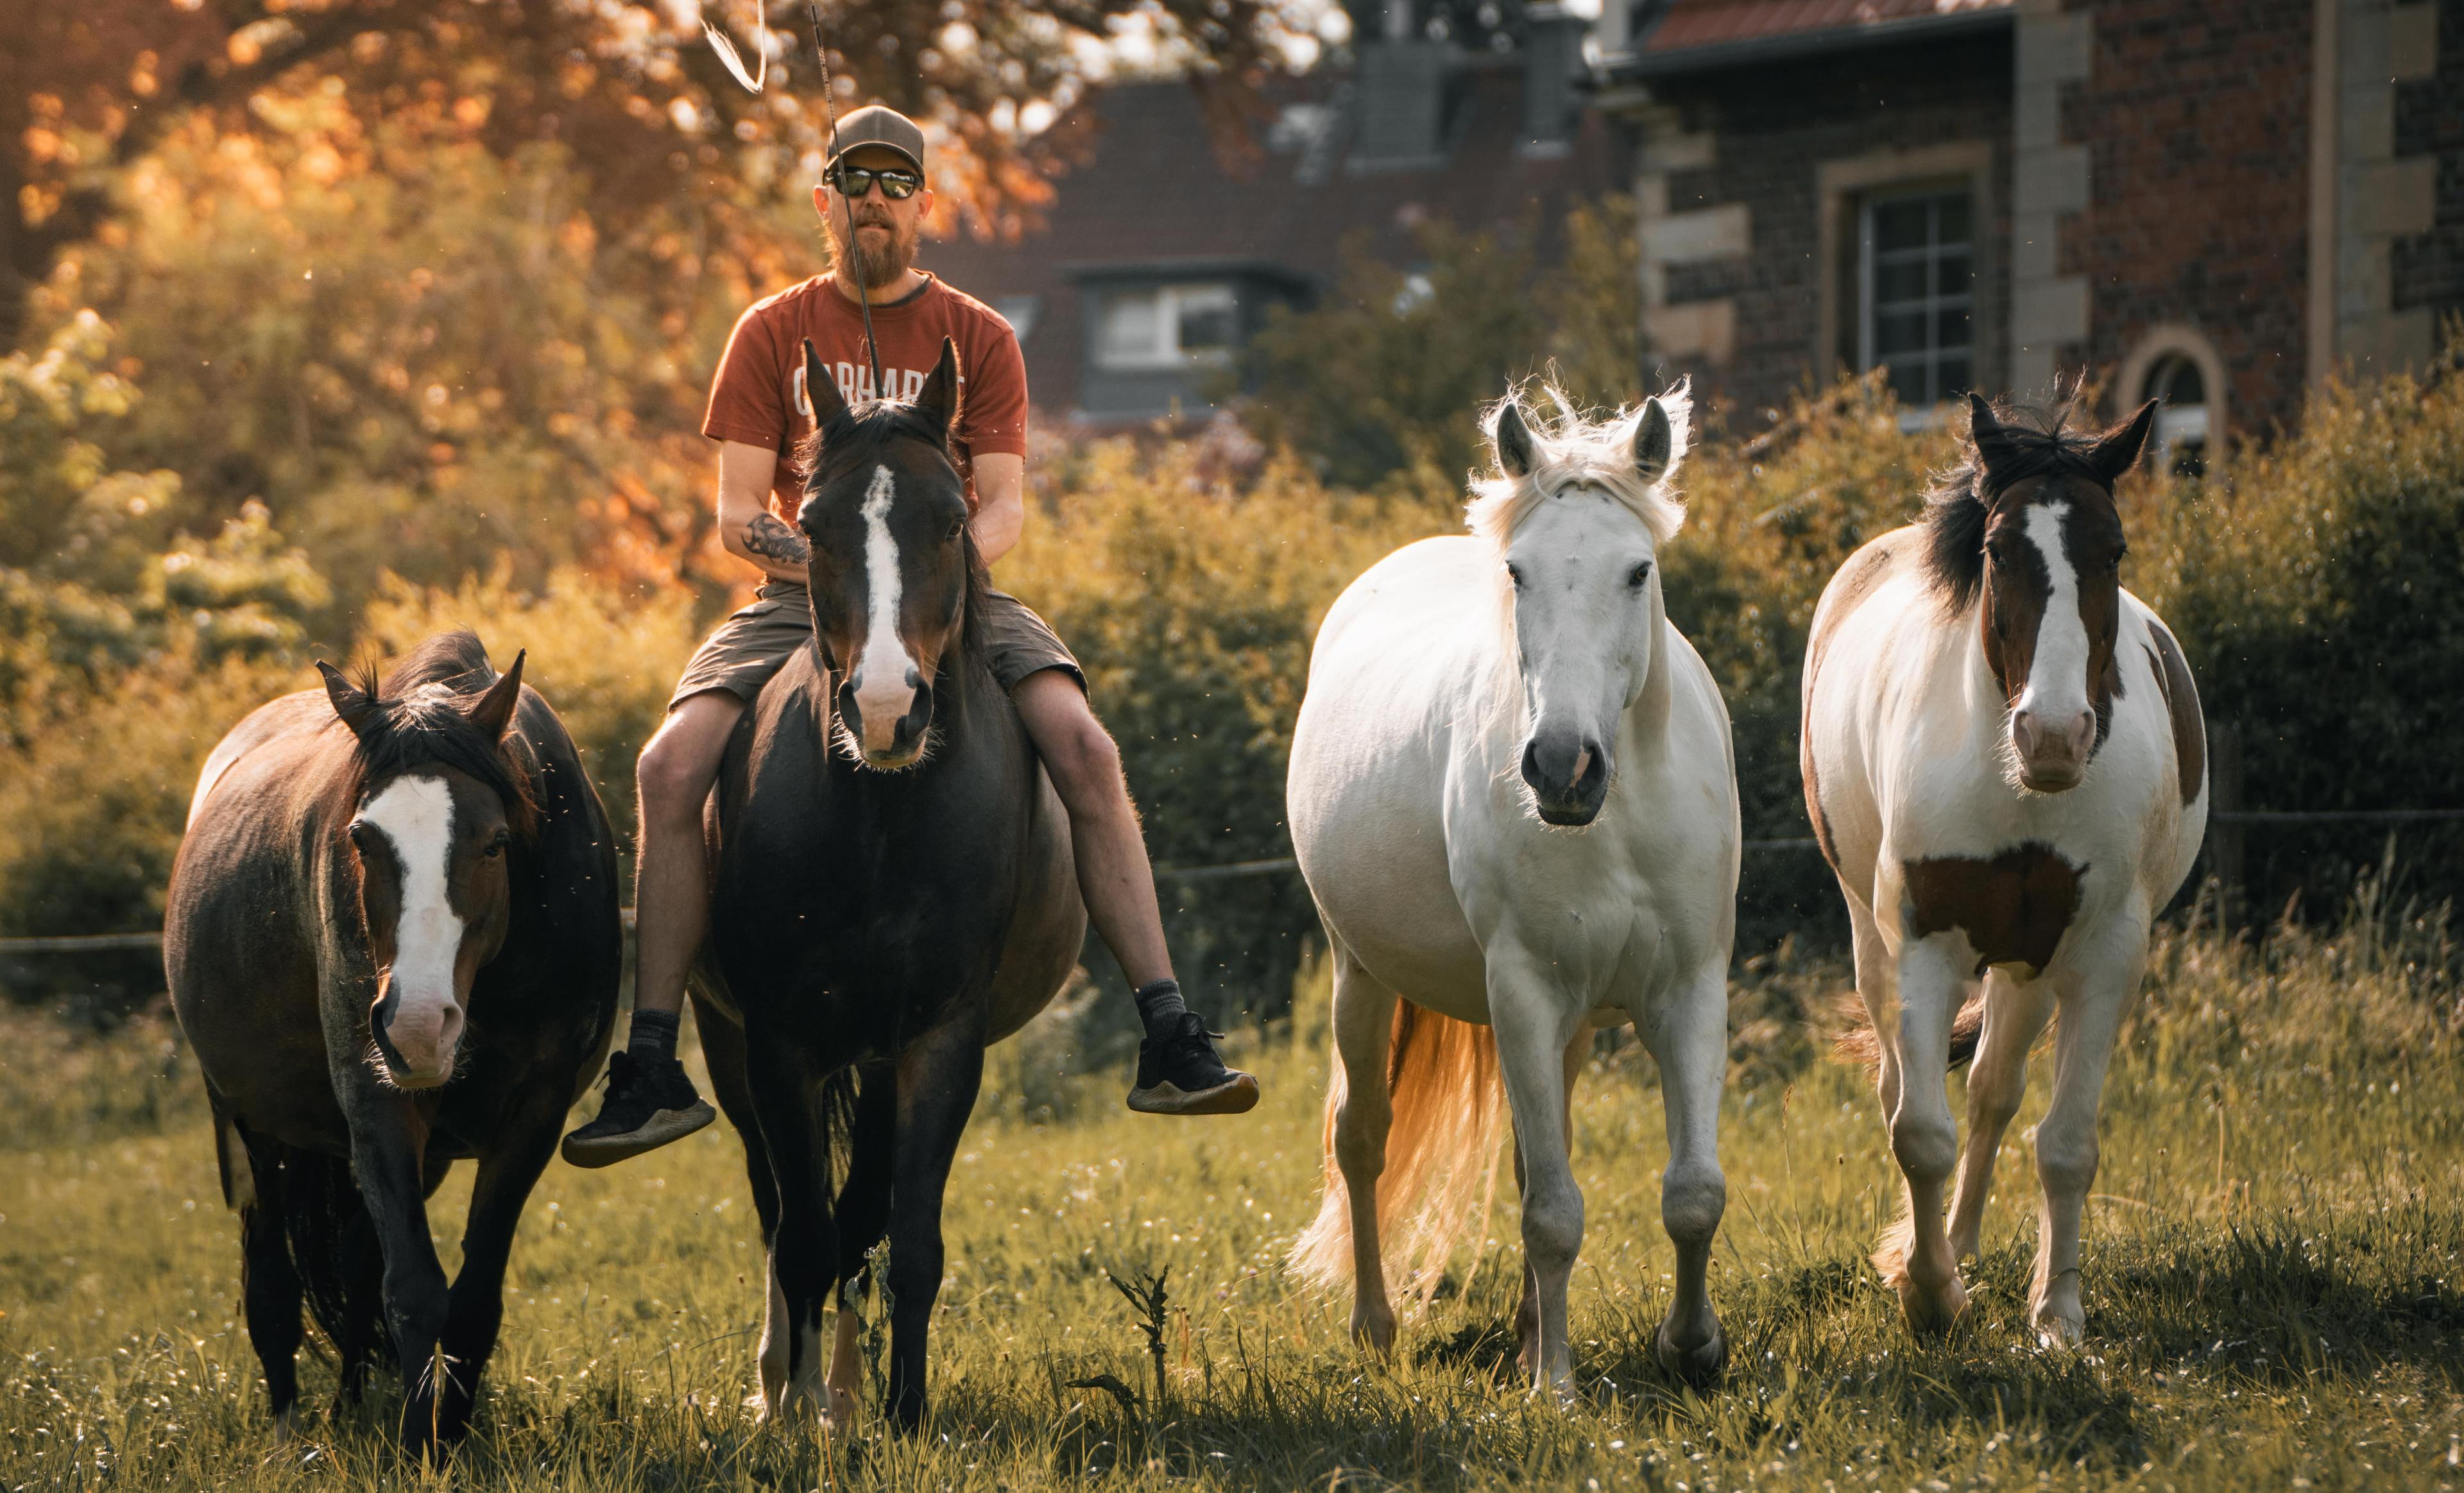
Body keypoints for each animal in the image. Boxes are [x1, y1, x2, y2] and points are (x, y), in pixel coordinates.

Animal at [165, 632, 621, 1457]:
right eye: (361, 837)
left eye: (495, 842)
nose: (417, 1025)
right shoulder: (377, 1099)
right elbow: (413, 1290)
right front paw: (419, 1448)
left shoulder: (532, 1119)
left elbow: (469, 1297)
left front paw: (450, 1434)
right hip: (255, 1127)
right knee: (273, 1280)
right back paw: (289, 1430)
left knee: (351, 1262)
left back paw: (349, 1404)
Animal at [689, 336, 1085, 1431]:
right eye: (814, 526)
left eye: (950, 520)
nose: (882, 707)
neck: (879, 820)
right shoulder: (776, 1040)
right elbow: (801, 1233)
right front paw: (790, 1412)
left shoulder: (937, 1038)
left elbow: (906, 1239)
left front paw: (903, 1413)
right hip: (735, 1044)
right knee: (783, 1209)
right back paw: (791, 1382)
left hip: (874, 1057)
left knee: (860, 1211)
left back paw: (849, 1389)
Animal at [1285, 382, 1740, 1395]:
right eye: (1520, 573)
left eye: (1638, 571)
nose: (1562, 765)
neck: (1615, 816)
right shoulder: (1524, 992)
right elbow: (1552, 1215)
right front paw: (1556, 1388)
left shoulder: (1689, 988)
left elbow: (1691, 1191)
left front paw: (1691, 1345)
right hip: (1360, 975)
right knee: (1360, 1138)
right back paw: (1376, 1326)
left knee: (1538, 1158)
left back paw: (1533, 1330)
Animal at [1803, 394, 2206, 1344]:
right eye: (1996, 549)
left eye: (2113, 549)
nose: (2053, 734)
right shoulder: (1925, 943)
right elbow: (1919, 1131)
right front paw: (1927, 1291)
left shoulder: (2103, 956)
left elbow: (2065, 1142)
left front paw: (2056, 1312)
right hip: (1875, 939)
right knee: (1907, 1087)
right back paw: (1938, 1253)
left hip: (2028, 964)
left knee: (1993, 1092)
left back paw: (1966, 1245)